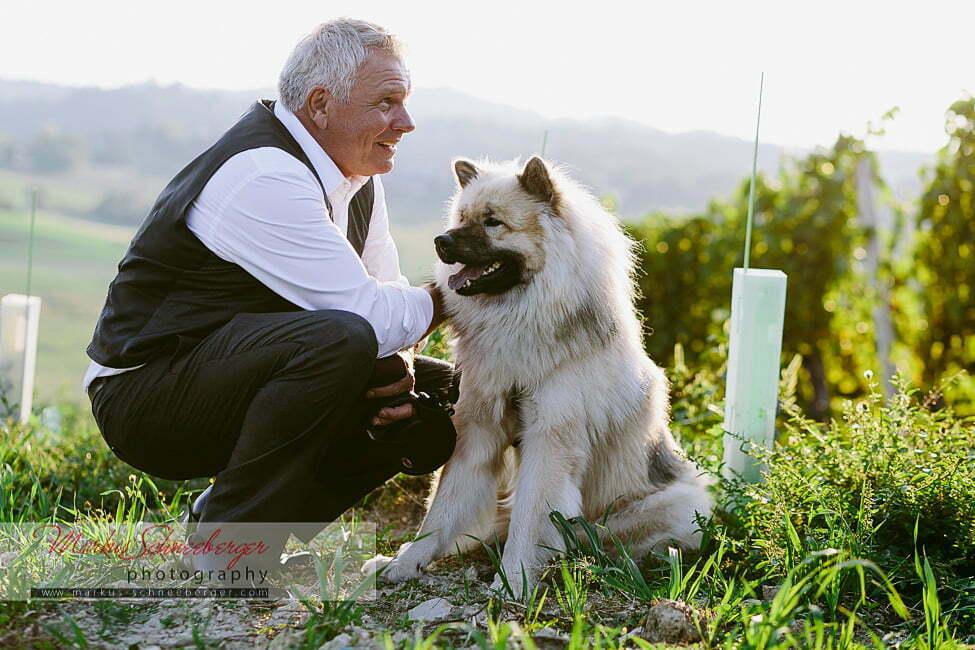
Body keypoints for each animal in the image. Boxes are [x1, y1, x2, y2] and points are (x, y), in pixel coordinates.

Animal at [366, 154, 708, 596]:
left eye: (492, 222)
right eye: (462, 217)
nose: (441, 241)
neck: (519, 317)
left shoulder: (549, 443)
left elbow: (529, 521)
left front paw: (513, 581)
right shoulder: (477, 431)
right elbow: (441, 511)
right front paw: (407, 561)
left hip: (677, 504)